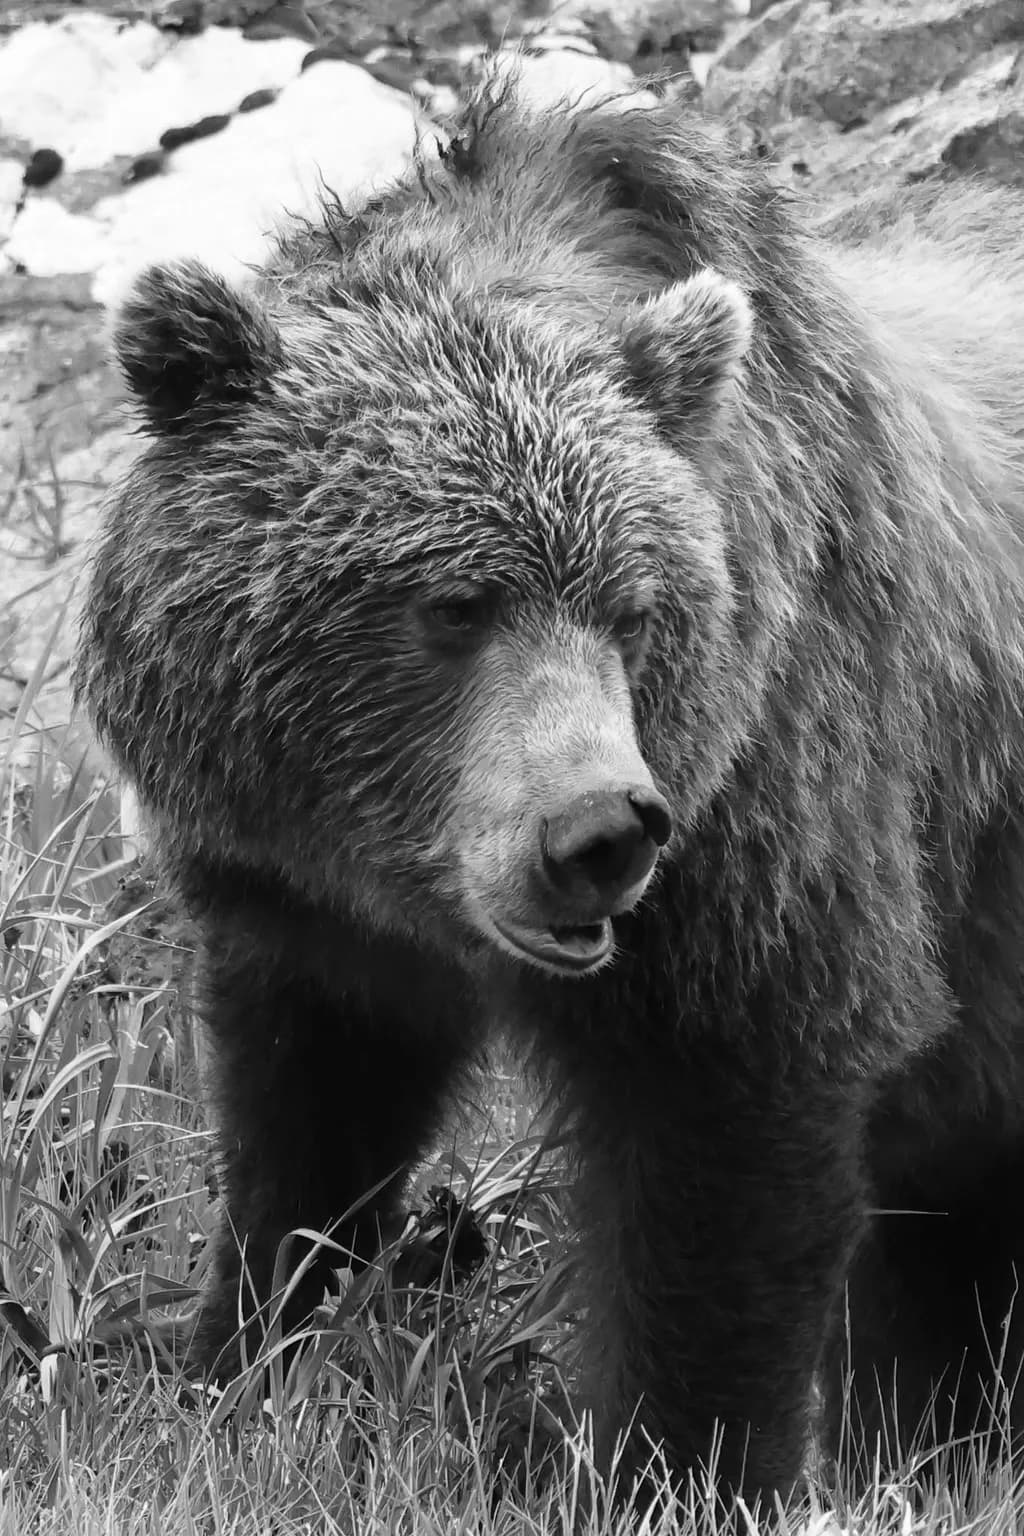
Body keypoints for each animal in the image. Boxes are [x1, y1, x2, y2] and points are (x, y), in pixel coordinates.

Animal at [74, 80, 1024, 1505]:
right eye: (453, 605)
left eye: (632, 611)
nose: (600, 832)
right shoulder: (308, 909)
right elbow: (306, 1124)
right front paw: (236, 1364)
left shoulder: (774, 823)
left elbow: (727, 1163)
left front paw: (679, 1465)